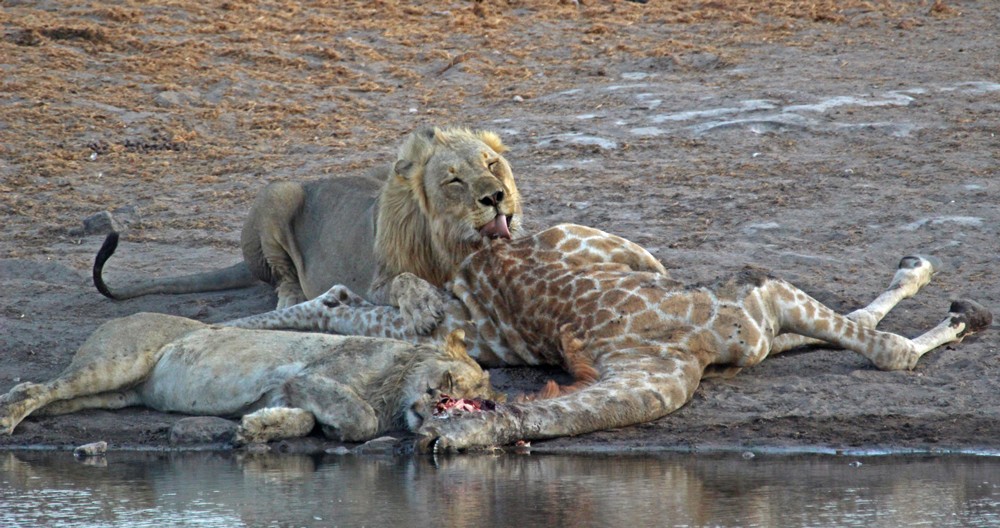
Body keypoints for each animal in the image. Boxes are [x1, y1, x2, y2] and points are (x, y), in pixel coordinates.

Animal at [0, 312, 500, 444]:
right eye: (451, 380)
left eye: (477, 403)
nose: (435, 396)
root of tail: (119, 316)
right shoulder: (308, 375)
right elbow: (361, 419)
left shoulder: (287, 391)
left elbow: (302, 420)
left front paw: (254, 430)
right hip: (116, 364)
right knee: (37, 388)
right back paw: (7, 419)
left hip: (116, 395)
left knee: (53, 398)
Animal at [94, 125, 524, 330]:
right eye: (454, 181)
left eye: (491, 164)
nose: (496, 196)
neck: (450, 244)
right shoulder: (374, 284)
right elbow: (407, 280)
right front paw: (423, 308)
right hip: (277, 193)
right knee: (282, 275)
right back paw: (290, 298)